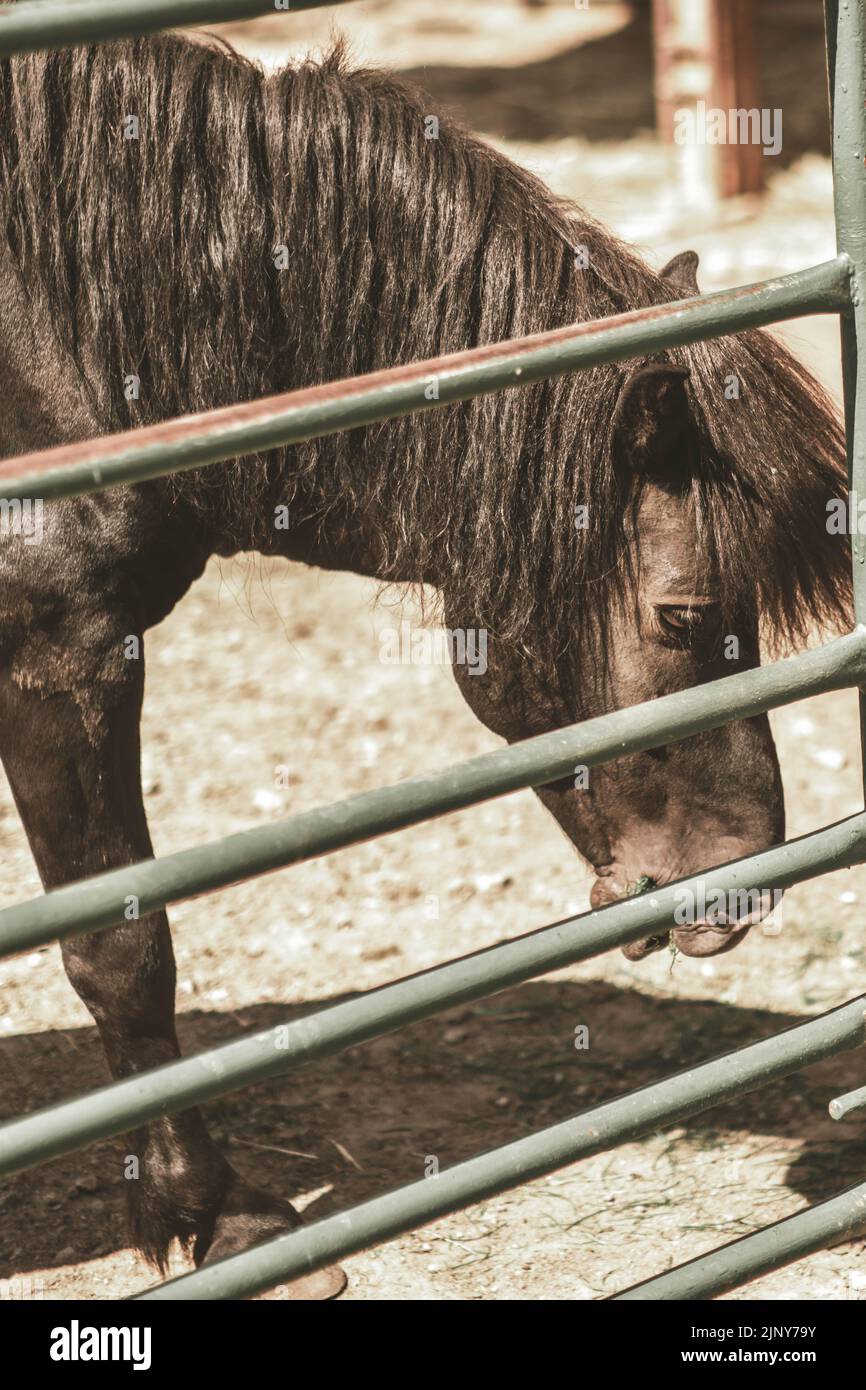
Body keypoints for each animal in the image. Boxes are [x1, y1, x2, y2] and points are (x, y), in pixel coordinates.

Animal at [0, 31, 851, 1296]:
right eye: (684, 615)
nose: (744, 885)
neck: (64, 336)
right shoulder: (61, 662)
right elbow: (123, 948)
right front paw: (220, 1217)